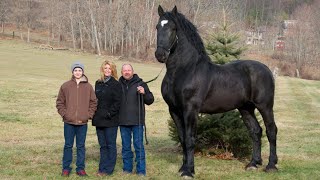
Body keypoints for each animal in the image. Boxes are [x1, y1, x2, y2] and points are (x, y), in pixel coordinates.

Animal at [155, 5, 278, 177]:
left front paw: (189, 171)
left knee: (271, 130)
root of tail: (266, 69)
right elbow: (182, 139)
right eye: (157, 27)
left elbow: (190, 139)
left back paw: (271, 165)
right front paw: (183, 168)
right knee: (256, 131)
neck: (184, 70)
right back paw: (253, 163)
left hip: (265, 106)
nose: (160, 55)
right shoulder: (174, 110)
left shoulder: (190, 110)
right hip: (246, 108)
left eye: (173, 28)